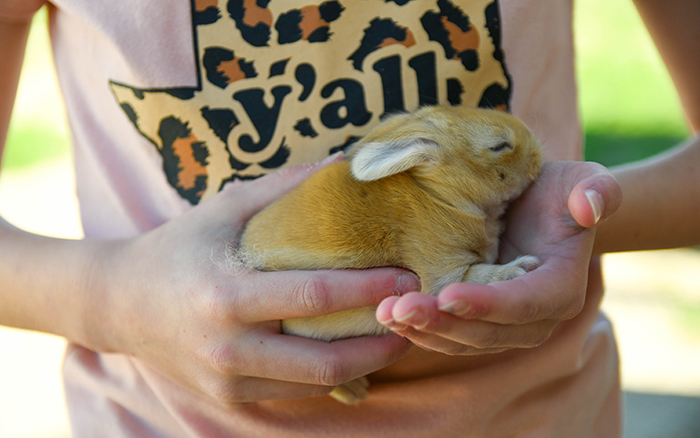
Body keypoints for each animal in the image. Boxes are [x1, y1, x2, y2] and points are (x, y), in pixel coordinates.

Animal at [237, 105, 543, 404]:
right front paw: (518, 268)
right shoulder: (438, 270)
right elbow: (474, 277)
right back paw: (355, 391)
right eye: (500, 146)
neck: (441, 197)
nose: (539, 153)